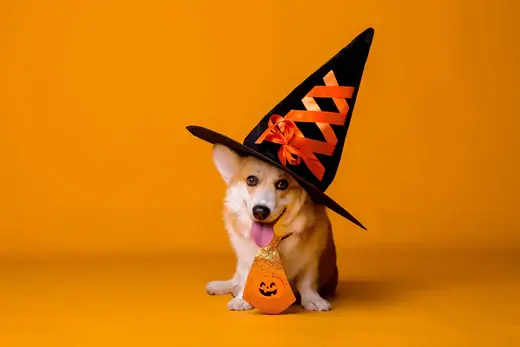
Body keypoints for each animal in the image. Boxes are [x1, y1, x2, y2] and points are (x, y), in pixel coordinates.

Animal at [205, 144, 340, 312]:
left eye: (283, 184)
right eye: (251, 180)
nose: (260, 211)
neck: (272, 242)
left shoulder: (311, 259)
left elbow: (307, 282)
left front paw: (313, 300)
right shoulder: (245, 258)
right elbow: (245, 278)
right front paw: (242, 298)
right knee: (235, 280)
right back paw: (219, 286)